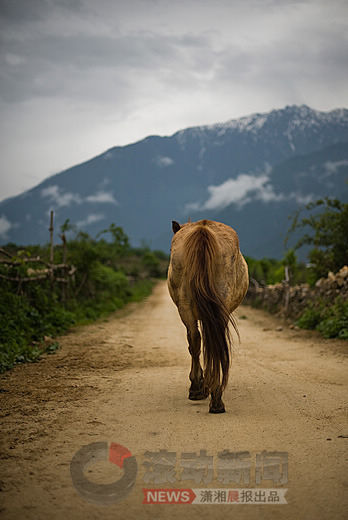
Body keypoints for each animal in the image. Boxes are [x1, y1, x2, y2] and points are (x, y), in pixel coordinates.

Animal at [167, 219, 249, 414]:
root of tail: (202, 229)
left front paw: (201, 385)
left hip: (188, 309)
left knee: (196, 341)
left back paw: (200, 389)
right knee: (210, 342)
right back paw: (215, 397)